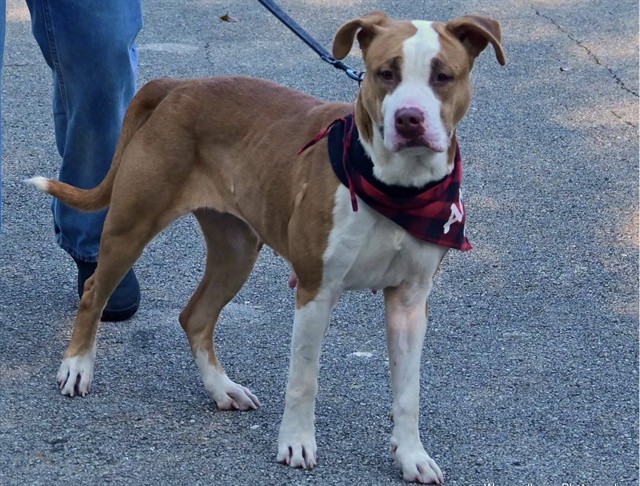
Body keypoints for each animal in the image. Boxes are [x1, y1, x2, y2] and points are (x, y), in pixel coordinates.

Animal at [29, 11, 505, 484]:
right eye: (385, 73)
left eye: (443, 76)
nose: (409, 118)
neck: (399, 189)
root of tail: (180, 85)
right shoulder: (315, 291)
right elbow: (303, 380)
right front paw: (295, 443)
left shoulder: (410, 301)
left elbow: (408, 392)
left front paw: (410, 455)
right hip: (131, 226)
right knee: (94, 292)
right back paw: (77, 367)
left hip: (236, 251)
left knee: (195, 316)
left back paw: (222, 389)